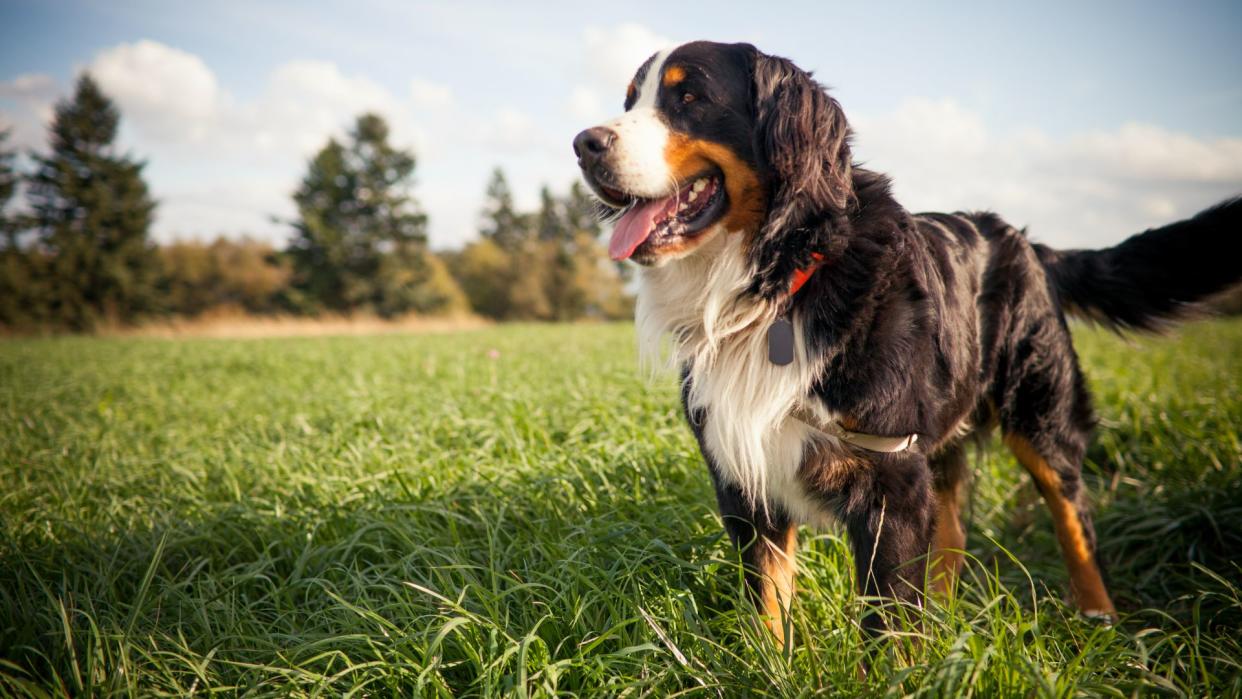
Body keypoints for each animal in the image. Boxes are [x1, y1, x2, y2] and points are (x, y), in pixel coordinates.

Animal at [571, 40, 1242, 650]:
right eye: (630, 101)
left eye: (689, 98)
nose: (583, 143)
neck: (781, 282)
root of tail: (1024, 239)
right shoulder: (745, 479)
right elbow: (767, 608)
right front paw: (768, 670)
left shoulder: (889, 480)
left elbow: (886, 624)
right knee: (953, 536)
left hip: (1040, 417)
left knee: (1074, 519)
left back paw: (1100, 623)